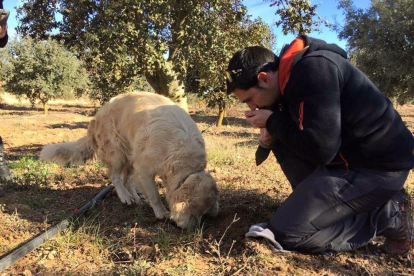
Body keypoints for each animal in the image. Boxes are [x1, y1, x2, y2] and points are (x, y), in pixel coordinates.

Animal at [40, 92, 218, 229]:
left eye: (203, 214)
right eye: (195, 212)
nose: (193, 229)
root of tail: (96, 117)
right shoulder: (144, 169)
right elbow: (154, 194)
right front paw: (161, 212)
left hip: (131, 154)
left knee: (127, 179)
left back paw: (134, 197)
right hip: (118, 153)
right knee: (115, 177)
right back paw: (125, 197)